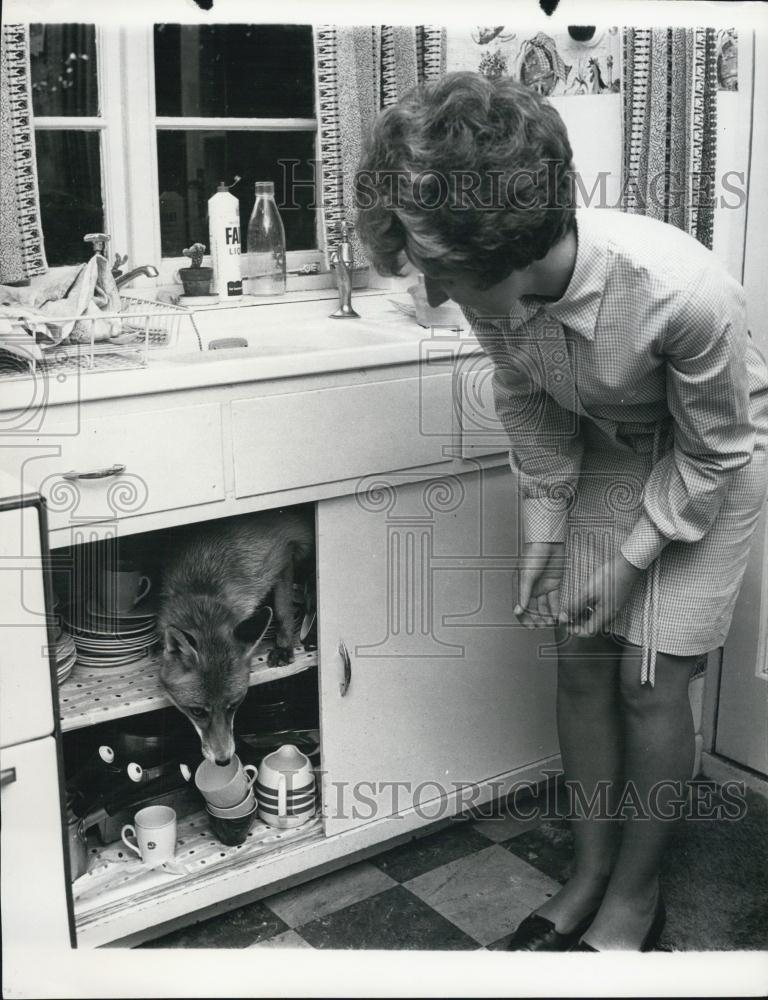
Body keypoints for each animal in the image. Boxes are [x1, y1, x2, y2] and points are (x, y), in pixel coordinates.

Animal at [158, 508, 314, 764]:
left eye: (233, 706)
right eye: (197, 711)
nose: (224, 760)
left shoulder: (283, 554)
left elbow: (283, 609)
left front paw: (283, 646)